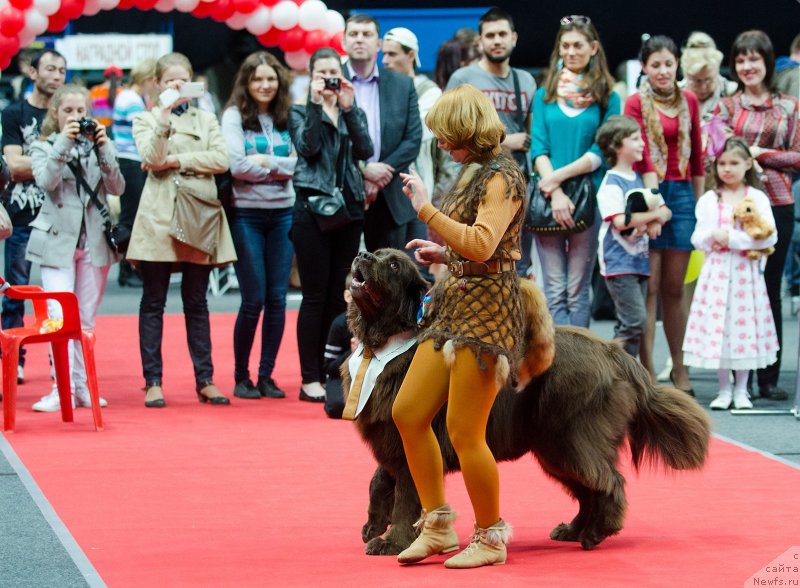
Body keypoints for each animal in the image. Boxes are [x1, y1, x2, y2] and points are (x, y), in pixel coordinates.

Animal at [346, 248, 708, 556]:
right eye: (376, 252)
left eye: (393, 265)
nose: (361, 254)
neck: (386, 342)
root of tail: (615, 352)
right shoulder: (391, 440)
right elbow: (378, 481)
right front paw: (372, 526)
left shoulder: (412, 439)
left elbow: (407, 499)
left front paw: (392, 542)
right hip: (553, 448)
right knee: (589, 489)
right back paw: (574, 530)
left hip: (571, 439)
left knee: (608, 482)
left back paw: (595, 534)